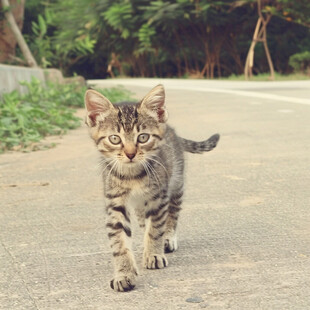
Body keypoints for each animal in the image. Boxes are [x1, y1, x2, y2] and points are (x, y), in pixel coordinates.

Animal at [85, 84, 219, 290]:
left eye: (143, 137)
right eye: (115, 139)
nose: (130, 154)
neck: (132, 176)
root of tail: (170, 128)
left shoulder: (158, 198)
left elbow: (155, 228)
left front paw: (154, 254)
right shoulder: (115, 202)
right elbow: (119, 241)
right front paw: (123, 273)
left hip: (176, 184)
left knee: (171, 215)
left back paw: (167, 238)